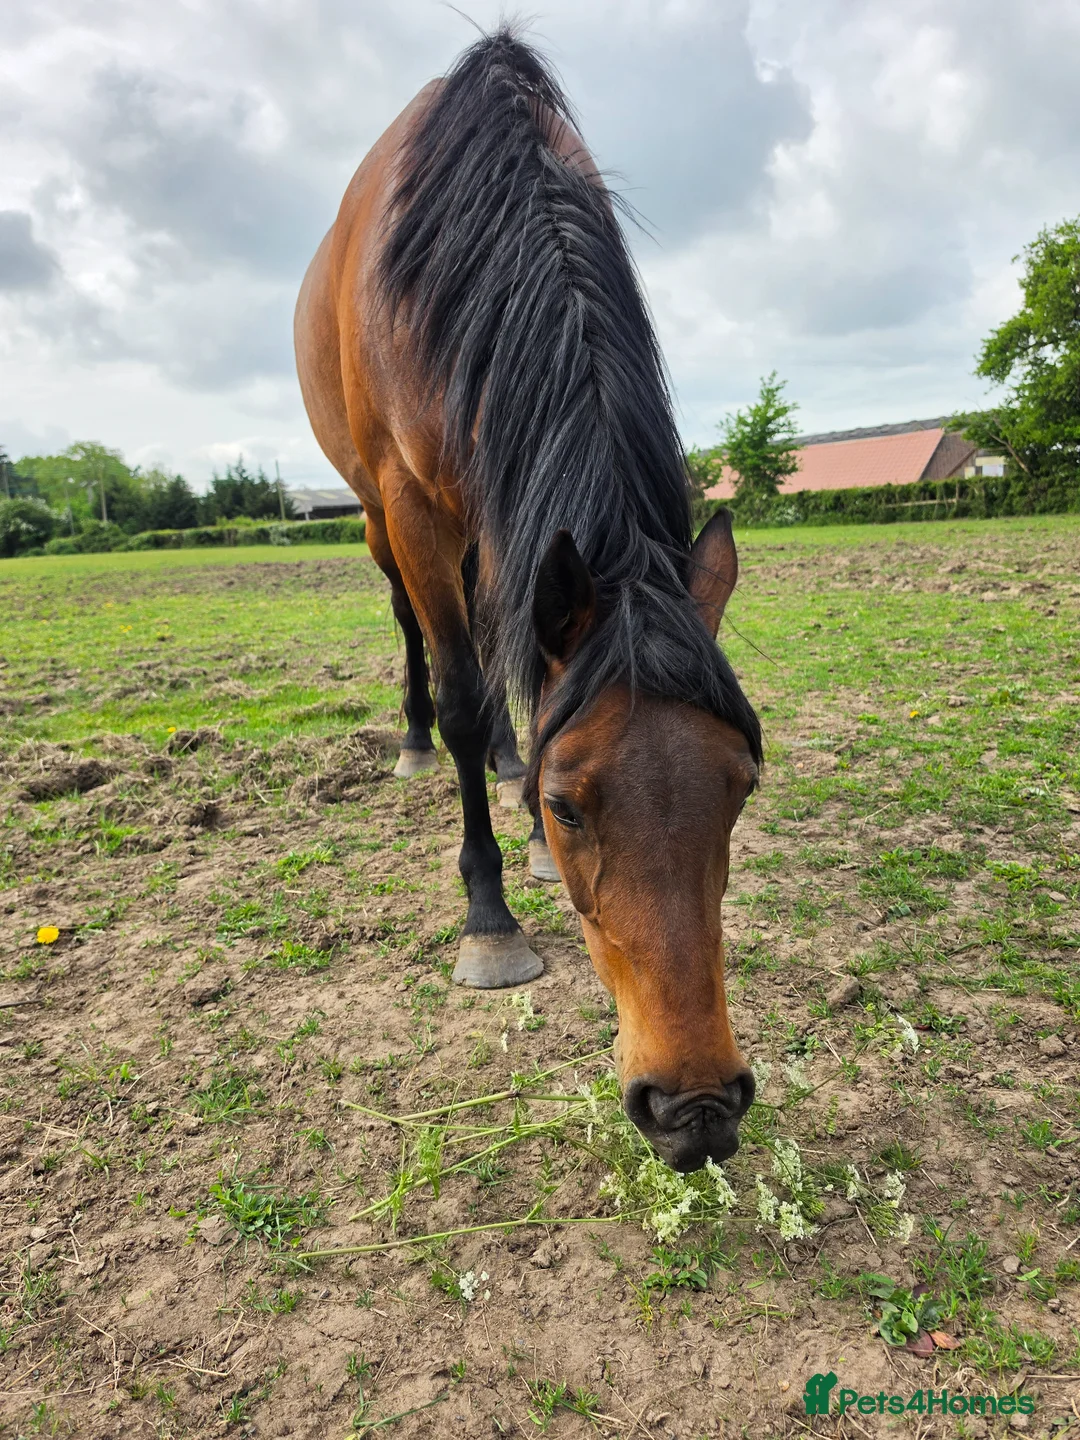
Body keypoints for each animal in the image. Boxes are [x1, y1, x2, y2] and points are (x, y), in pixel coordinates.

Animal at [294, 31, 763, 1171]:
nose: (697, 1109)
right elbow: (466, 690)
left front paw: (518, 799)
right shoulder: (411, 502)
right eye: (571, 802)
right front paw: (490, 914)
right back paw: (420, 743)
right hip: (380, 519)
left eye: (740, 788)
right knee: (423, 634)